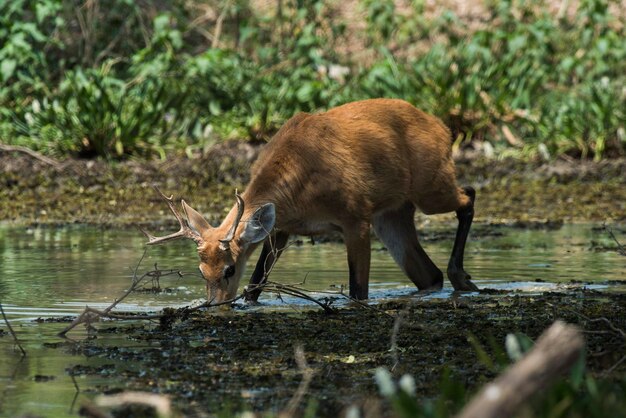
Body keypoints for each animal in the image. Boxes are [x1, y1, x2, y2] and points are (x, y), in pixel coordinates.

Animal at [139, 99, 476, 302]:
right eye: (201, 271)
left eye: (230, 269)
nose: (213, 304)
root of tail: (443, 128)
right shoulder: (280, 228)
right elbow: (256, 284)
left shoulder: (356, 215)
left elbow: (358, 291)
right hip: (391, 214)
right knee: (429, 275)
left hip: (430, 186)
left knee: (468, 196)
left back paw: (462, 278)